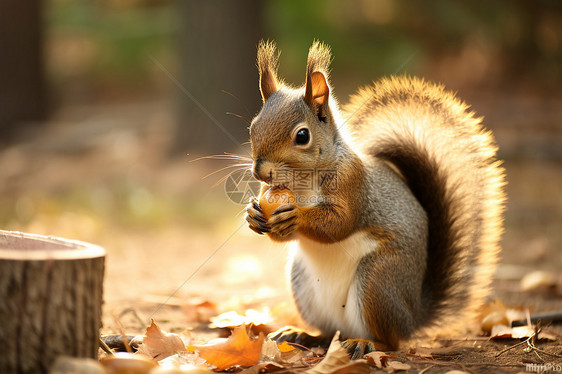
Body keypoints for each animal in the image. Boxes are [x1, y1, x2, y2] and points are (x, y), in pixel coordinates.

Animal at [243, 40, 506, 350]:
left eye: (302, 136)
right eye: (253, 127)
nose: (261, 172)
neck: (302, 182)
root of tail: (413, 316)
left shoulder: (352, 182)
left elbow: (340, 223)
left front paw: (298, 216)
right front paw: (253, 215)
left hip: (377, 281)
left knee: (390, 341)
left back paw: (366, 344)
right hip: (304, 286)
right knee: (327, 333)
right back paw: (302, 334)